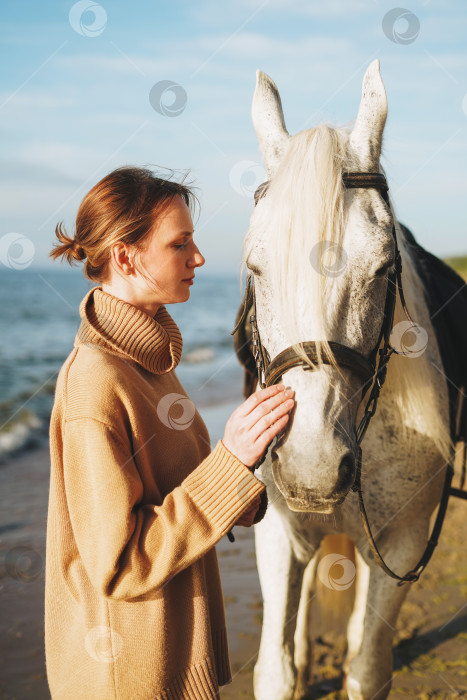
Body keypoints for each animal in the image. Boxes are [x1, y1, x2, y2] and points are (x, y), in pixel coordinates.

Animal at [243, 61, 456, 700]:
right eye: (256, 268)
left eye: (384, 267)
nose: (310, 464)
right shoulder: (278, 534)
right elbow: (276, 670)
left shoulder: (403, 543)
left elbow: (367, 668)